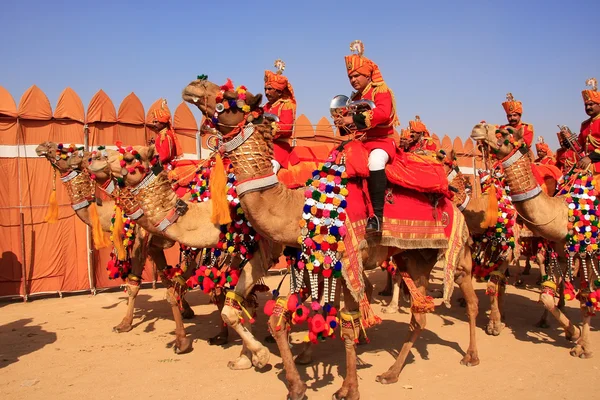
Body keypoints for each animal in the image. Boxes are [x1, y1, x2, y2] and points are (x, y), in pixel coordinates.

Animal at [35, 141, 202, 354]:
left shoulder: (141, 240)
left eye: (64, 149)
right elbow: (166, 279)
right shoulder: (153, 247)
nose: (42, 146)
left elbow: (136, 285)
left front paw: (125, 324)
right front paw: (185, 312)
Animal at [180, 78, 480, 400]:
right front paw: (292, 381)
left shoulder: (349, 261)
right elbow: (275, 314)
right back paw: (391, 373)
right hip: (412, 257)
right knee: (419, 314)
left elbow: (346, 323)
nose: (194, 84)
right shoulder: (303, 258)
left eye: (229, 97)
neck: (295, 203)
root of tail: (452, 198)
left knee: (467, 298)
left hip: (454, 253)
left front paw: (348, 389)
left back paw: (470, 355)